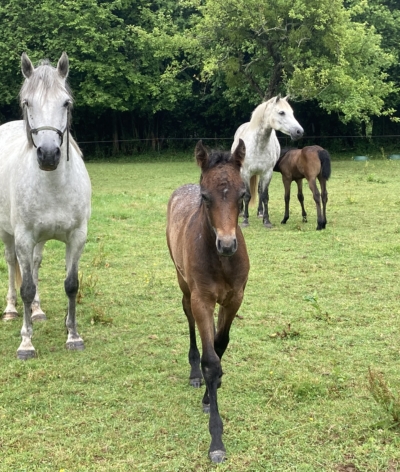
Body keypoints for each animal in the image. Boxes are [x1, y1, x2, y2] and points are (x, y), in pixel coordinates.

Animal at [0, 52, 91, 362]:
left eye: (66, 103)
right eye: (27, 103)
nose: (49, 155)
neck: (53, 185)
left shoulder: (76, 237)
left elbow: (71, 285)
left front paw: (73, 336)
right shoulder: (24, 237)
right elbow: (26, 287)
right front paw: (26, 343)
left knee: (36, 264)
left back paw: (37, 311)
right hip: (8, 235)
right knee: (12, 264)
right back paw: (12, 310)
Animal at [231, 95, 304, 227]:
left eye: (292, 112)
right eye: (281, 112)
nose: (299, 132)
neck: (258, 145)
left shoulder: (267, 173)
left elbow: (264, 195)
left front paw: (266, 220)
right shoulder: (245, 172)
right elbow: (247, 195)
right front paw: (245, 220)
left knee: (260, 190)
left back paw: (260, 212)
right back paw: (241, 212)